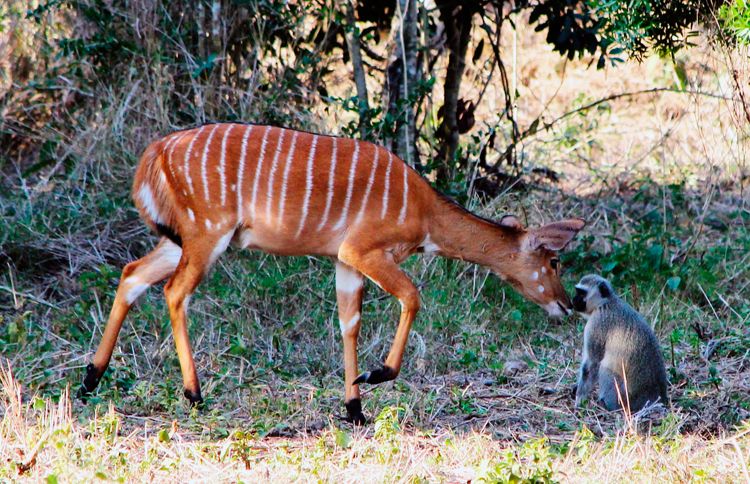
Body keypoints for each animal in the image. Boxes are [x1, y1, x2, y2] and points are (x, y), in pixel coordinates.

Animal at [81, 122, 588, 424]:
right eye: (554, 261)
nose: (568, 304)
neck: (424, 213)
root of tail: (156, 152)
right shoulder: (363, 250)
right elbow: (412, 296)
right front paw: (376, 375)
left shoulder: (345, 261)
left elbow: (349, 323)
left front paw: (355, 408)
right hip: (208, 234)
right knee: (174, 291)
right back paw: (194, 394)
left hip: (180, 239)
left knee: (132, 274)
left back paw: (90, 379)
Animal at [576, 276, 668, 412]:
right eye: (577, 291)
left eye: (582, 293)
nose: (573, 301)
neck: (606, 302)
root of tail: (656, 395)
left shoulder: (596, 324)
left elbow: (592, 363)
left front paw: (579, 398)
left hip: (625, 397)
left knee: (605, 368)